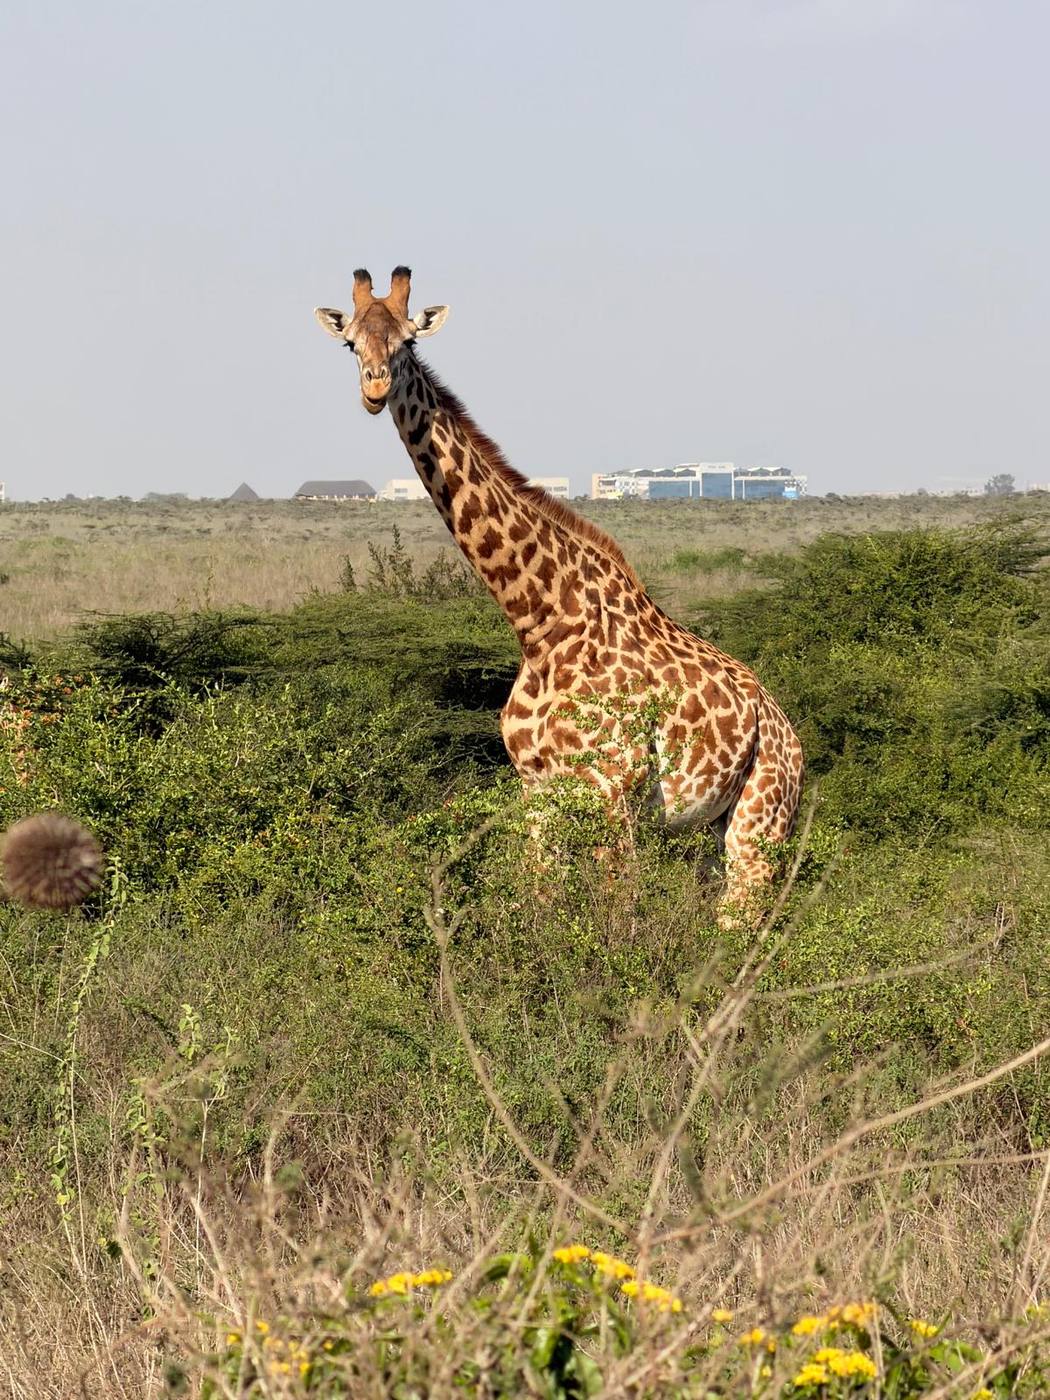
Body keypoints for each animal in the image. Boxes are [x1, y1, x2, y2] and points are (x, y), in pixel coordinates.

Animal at [314, 267, 804, 924]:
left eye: (408, 342)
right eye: (351, 344)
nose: (374, 388)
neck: (541, 622)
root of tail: (788, 732)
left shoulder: (613, 788)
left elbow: (618, 913)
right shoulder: (538, 788)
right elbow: (539, 902)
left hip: (761, 820)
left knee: (747, 920)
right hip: (709, 827)